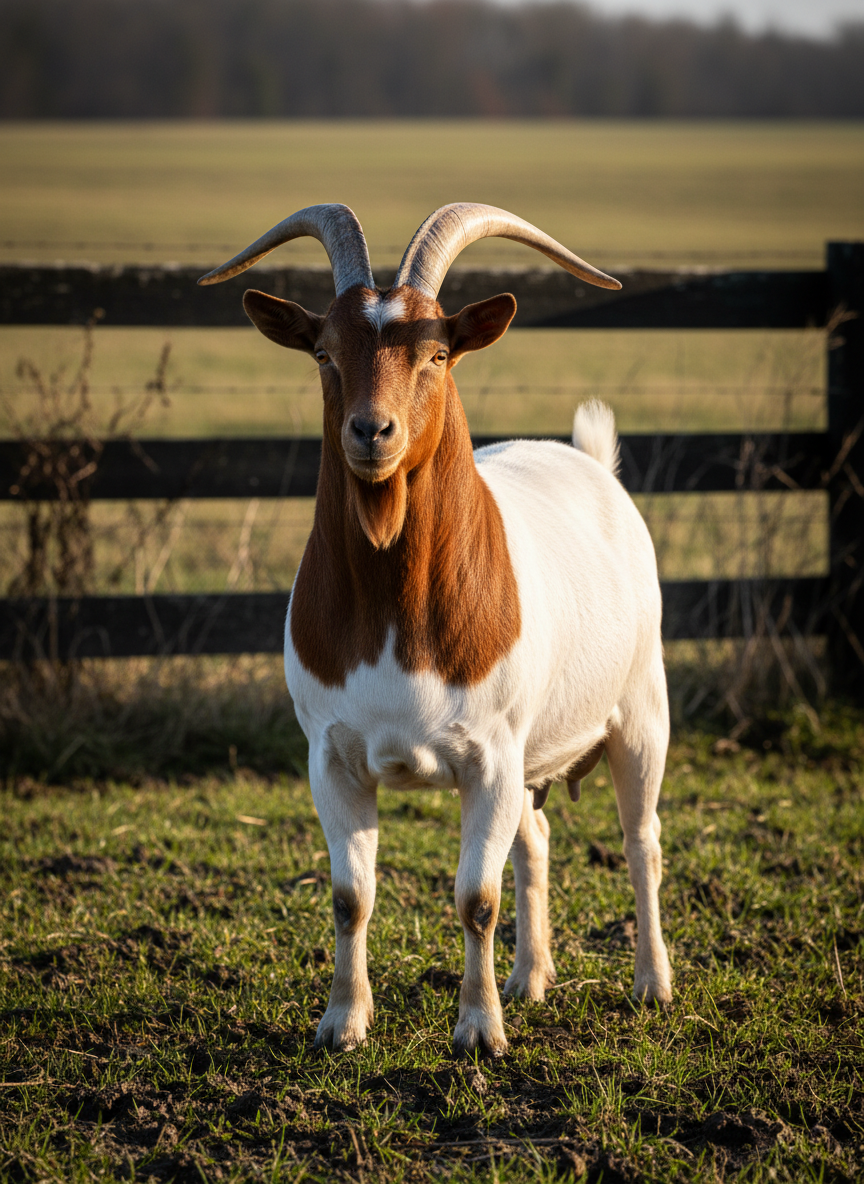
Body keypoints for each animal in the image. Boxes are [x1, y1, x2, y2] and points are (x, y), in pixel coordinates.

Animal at [200, 203, 672, 1057]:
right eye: (324, 351)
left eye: (438, 352)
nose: (371, 432)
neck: (395, 614)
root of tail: (591, 461)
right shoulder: (332, 756)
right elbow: (350, 895)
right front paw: (342, 1023)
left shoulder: (489, 755)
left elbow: (475, 897)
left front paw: (478, 1032)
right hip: (531, 753)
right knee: (536, 842)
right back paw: (531, 979)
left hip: (640, 709)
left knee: (641, 840)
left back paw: (652, 984)